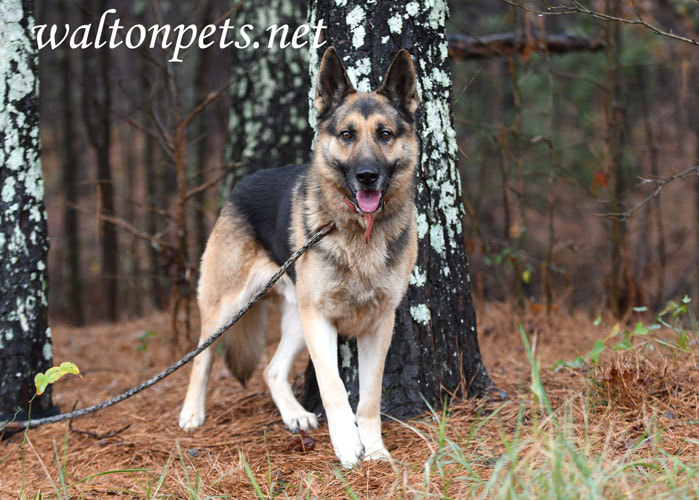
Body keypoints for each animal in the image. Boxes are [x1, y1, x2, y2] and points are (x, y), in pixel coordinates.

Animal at [180, 48, 418, 466]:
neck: (358, 232)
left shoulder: (379, 325)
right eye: (347, 135)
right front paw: (347, 445)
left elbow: (370, 398)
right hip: (229, 308)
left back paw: (294, 415)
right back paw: (192, 412)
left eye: (385, 134)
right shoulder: (319, 320)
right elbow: (334, 386)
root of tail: (240, 185)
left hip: (295, 320)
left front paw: (375, 450)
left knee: (272, 371)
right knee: (201, 357)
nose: (367, 176)